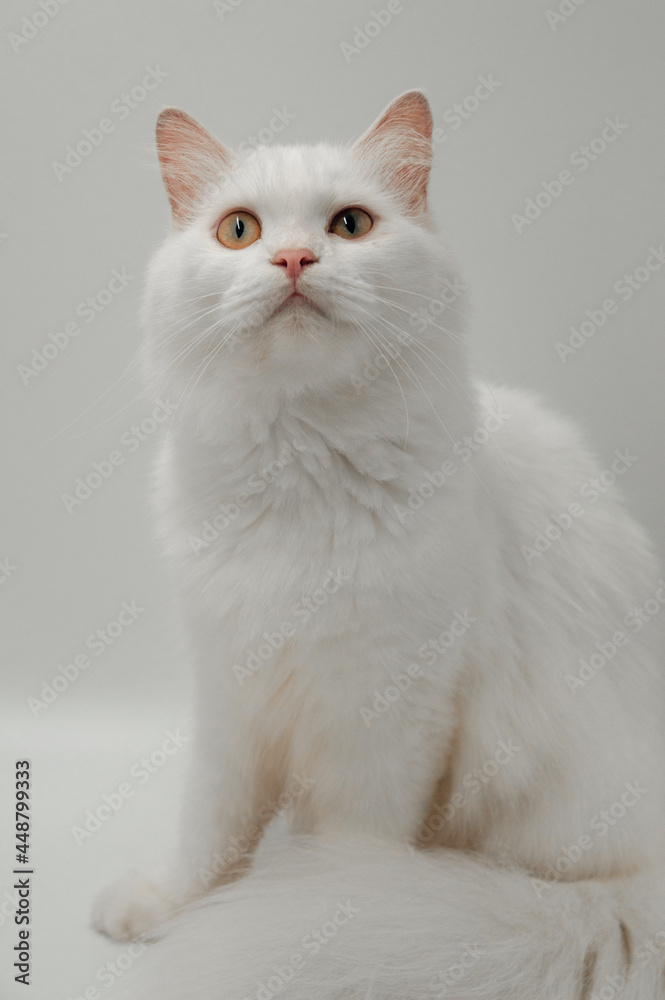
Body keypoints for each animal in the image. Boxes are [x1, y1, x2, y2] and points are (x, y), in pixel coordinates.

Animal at [92, 94, 664, 1000]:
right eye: (239, 230)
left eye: (350, 225)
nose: (293, 257)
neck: (298, 475)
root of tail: (642, 886)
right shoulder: (230, 691)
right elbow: (208, 830)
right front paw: (165, 908)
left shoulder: (388, 716)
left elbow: (349, 856)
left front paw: (314, 925)